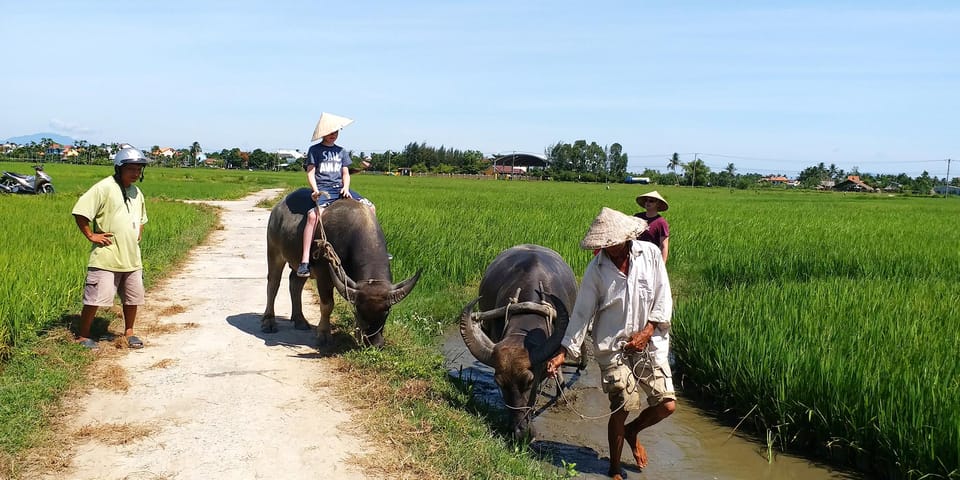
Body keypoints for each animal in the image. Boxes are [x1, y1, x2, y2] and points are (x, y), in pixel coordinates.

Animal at [262, 188, 420, 348]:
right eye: (359, 310)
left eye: (387, 311)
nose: (373, 343)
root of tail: (278, 208)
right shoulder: (323, 274)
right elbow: (327, 305)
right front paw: (324, 334)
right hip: (274, 250)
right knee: (273, 283)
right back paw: (269, 322)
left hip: (299, 264)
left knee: (295, 283)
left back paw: (299, 320)